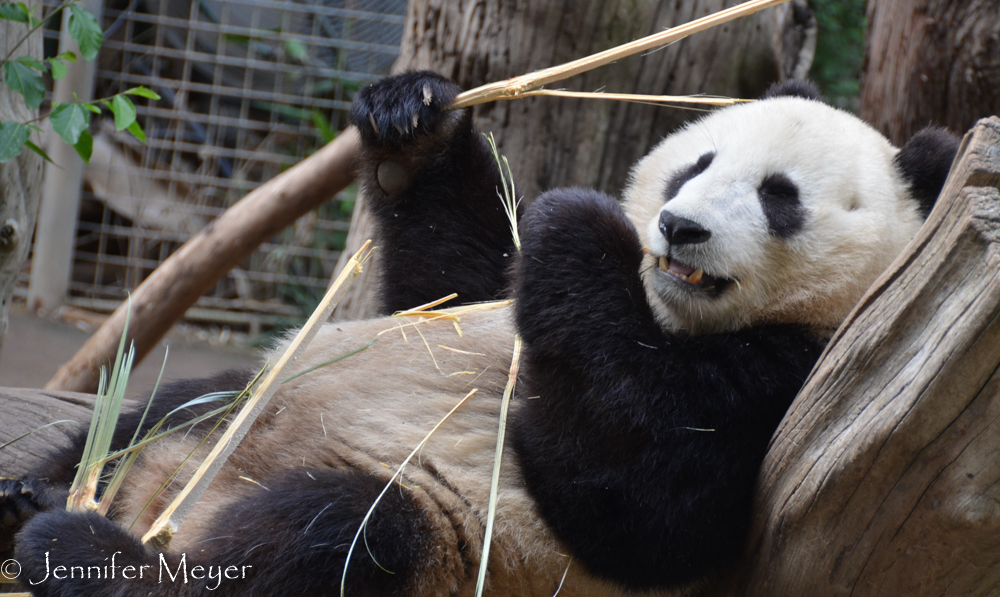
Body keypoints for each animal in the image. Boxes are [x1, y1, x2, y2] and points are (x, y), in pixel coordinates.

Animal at [0, 71, 956, 596]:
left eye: (779, 197)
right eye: (699, 162)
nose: (678, 227)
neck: (657, 310)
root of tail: (164, 505)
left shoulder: (800, 380)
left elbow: (648, 508)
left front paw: (577, 223)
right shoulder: (479, 302)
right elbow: (448, 286)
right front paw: (410, 122)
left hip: (432, 545)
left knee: (334, 534)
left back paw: (86, 554)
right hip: (229, 413)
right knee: (179, 406)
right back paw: (38, 493)